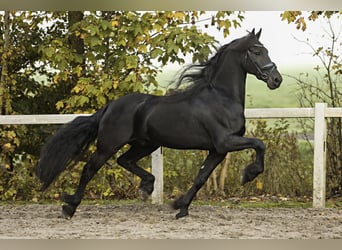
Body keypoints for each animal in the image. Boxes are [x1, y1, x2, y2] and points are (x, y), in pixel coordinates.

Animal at [36, 28, 284, 219]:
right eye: (257, 51)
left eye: (266, 50)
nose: (276, 80)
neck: (221, 97)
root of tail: (110, 107)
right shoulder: (225, 142)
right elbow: (260, 144)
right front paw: (248, 175)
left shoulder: (217, 150)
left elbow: (201, 178)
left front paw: (180, 207)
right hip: (109, 144)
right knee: (90, 169)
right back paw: (69, 207)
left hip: (146, 144)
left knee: (124, 160)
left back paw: (147, 186)